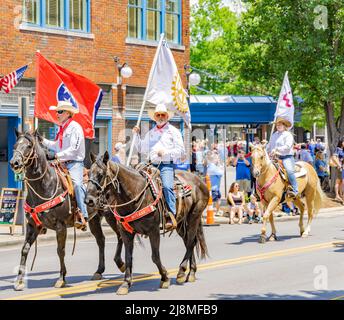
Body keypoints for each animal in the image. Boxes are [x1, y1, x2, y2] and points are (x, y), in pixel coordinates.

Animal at [8, 130, 125, 290]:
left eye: (29, 145)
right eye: (15, 145)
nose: (15, 163)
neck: (45, 185)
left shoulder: (60, 226)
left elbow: (60, 251)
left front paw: (61, 278)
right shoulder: (33, 225)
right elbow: (24, 249)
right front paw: (19, 281)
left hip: (111, 215)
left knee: (120, 236)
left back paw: (120, 264)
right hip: (94, 219)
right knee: (101, 240)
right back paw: (99, 271)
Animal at [85, 152, 210, 296]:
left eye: (101, 174)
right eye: (88, 173)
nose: (88, 200)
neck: (135, 195)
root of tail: (199, 180)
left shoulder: (153, 231)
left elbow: (155, 257)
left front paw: (165, 278)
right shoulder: (126, 233)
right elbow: (128, 257)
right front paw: (125, 284)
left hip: (194, 216)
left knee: (190, 243)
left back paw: (181, 271)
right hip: (180, 223)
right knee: (190, 242)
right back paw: (191, 273)